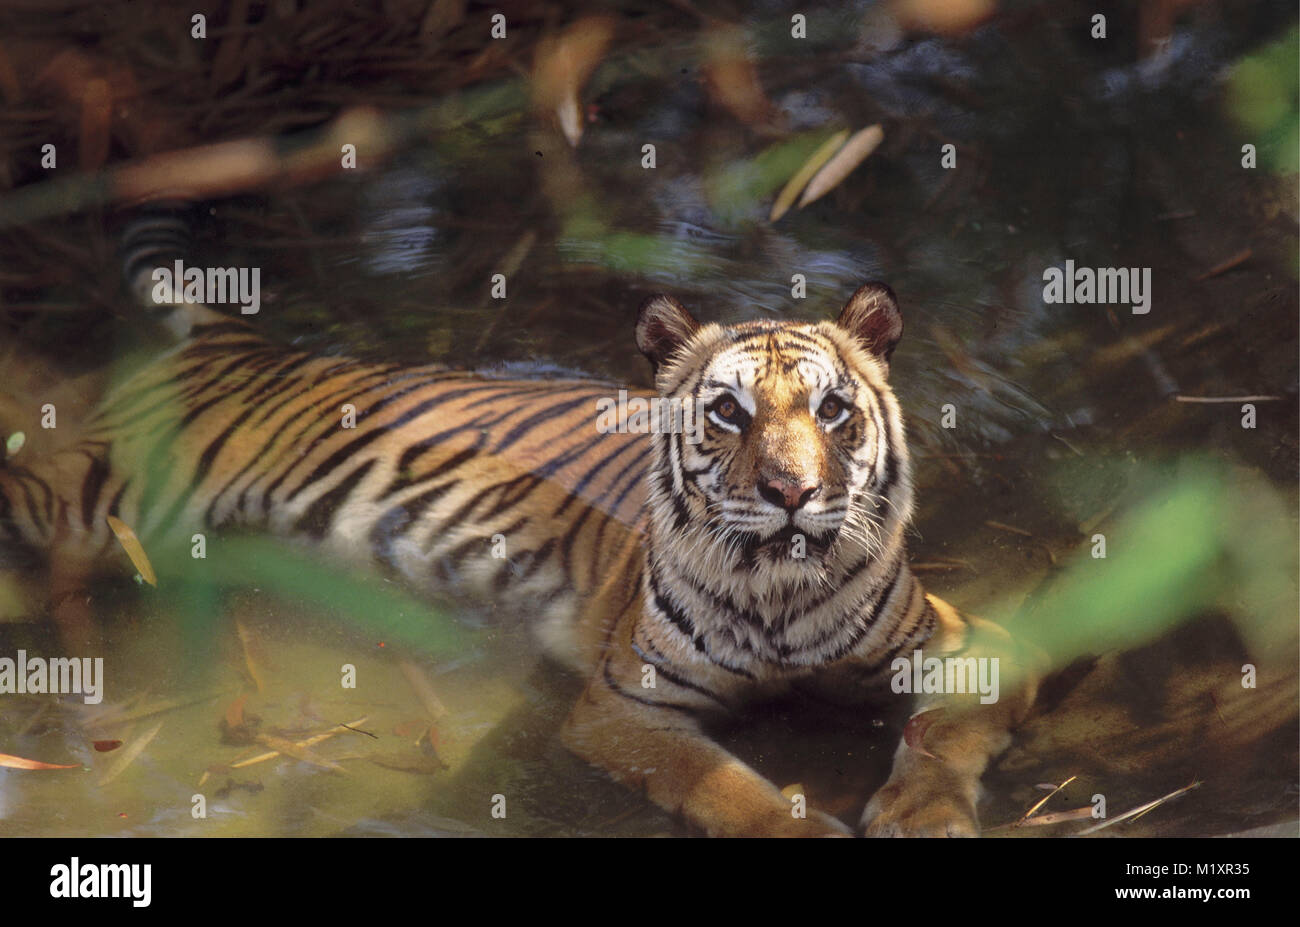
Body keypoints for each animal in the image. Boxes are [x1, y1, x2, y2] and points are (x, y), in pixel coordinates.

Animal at [0, 239, 1038, 836]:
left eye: (831, 409)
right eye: (729, 413)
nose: (793, 491)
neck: (779, 587)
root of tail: (235, 340)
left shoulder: (972, 639)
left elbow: (945, 728)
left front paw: (925, 815)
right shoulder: (624, 704)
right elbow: (721, 779)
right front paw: (801, 826)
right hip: (94, 495)